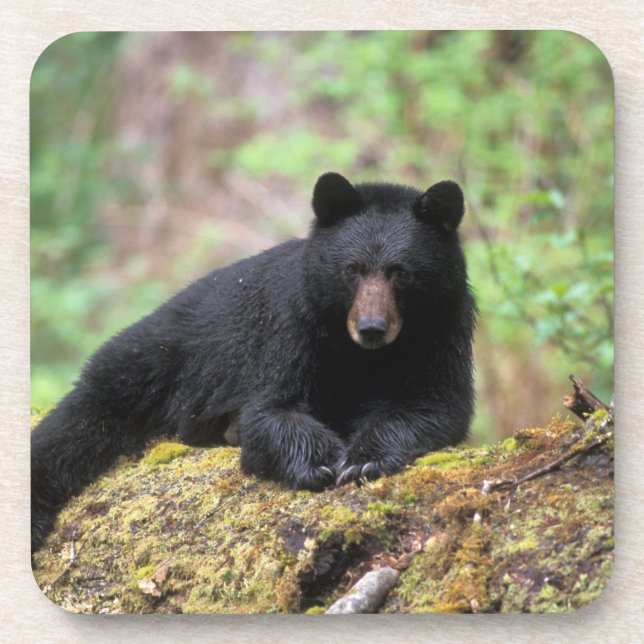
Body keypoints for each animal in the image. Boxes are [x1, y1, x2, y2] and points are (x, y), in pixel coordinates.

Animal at [31, 172, 475, 553]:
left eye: (400, 272)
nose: (371, 328)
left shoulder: (443, 331)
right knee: (77, 424)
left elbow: (433, 403)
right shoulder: (292, 327)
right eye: (352, 269)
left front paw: (365, 459)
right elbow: (270, 409)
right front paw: (319, 462)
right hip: (150, 362)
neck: (363, 356)